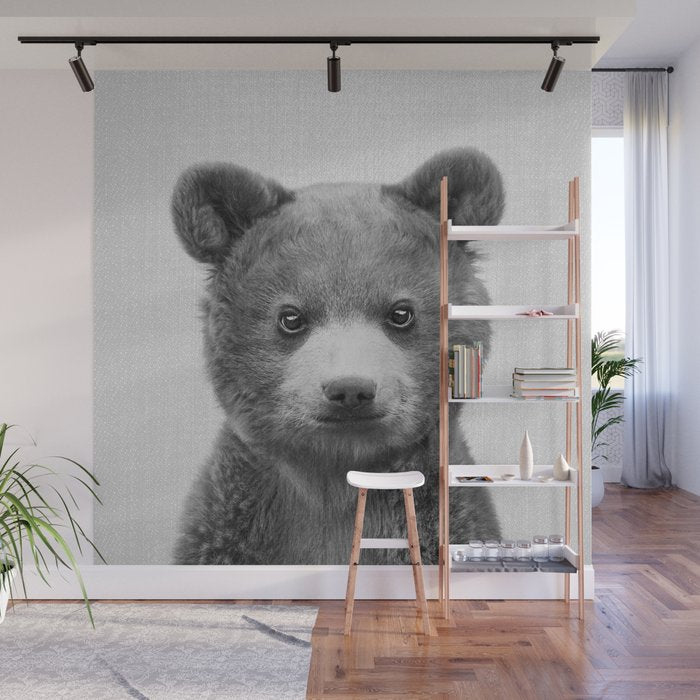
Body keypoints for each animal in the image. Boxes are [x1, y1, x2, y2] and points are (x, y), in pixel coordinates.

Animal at [171, 147, 504, 565]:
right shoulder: (230, 530)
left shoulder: (445, 518)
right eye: (291, 317)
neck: (335, 479)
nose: (350, 389)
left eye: (401, 312)